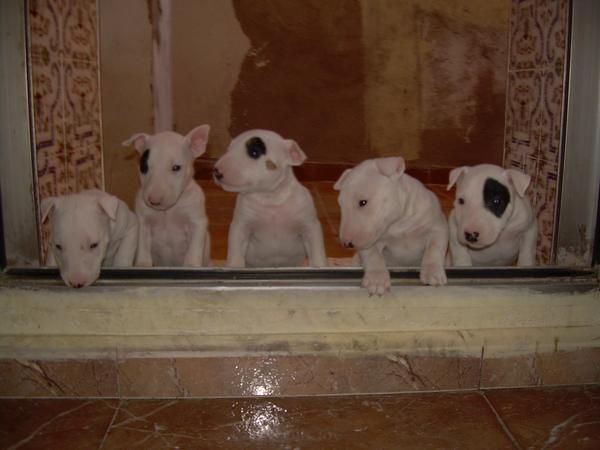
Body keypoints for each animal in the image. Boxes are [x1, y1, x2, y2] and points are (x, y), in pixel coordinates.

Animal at [122, 125, 211, 268]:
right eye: (144, 166)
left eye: (176, 167)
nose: (154, 201)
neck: (167, 211)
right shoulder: (143, 222)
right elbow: (143, 245)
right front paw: (142, 264)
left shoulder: (197, 222)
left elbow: (194, 248)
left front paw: (191, 265)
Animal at [213, 128, 328, 268]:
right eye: (228, 149)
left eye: (254, 152)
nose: (217, 171)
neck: (271, 198)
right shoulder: (241, 227)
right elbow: (235, 252)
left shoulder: (309, 226)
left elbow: (317, 252)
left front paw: (319, 265)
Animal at [336, 156, 448, 296]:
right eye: (340, 205)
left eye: (363, 202)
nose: (346, 244)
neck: (399, 223)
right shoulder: (372, 241)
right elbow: (372, 254)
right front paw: (376, 280)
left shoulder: (437, 227)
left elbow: (434, 248)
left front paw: (433, 273)